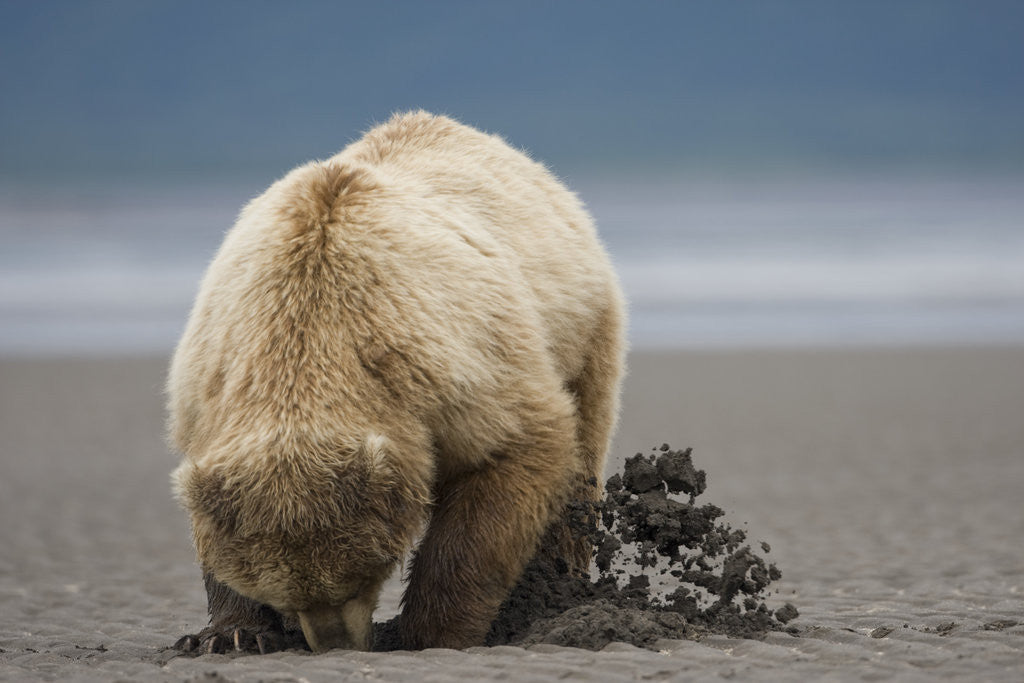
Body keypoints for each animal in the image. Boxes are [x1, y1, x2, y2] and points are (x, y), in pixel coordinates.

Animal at [167, 111, 626, 653]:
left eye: (359, 578)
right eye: (288, 596)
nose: (335, 642)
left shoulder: (443, 364)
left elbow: (514, 450)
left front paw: (428, 631)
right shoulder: (211, 381)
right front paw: (231, 633)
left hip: (581, 326)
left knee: (582, 454)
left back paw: (557, 591)